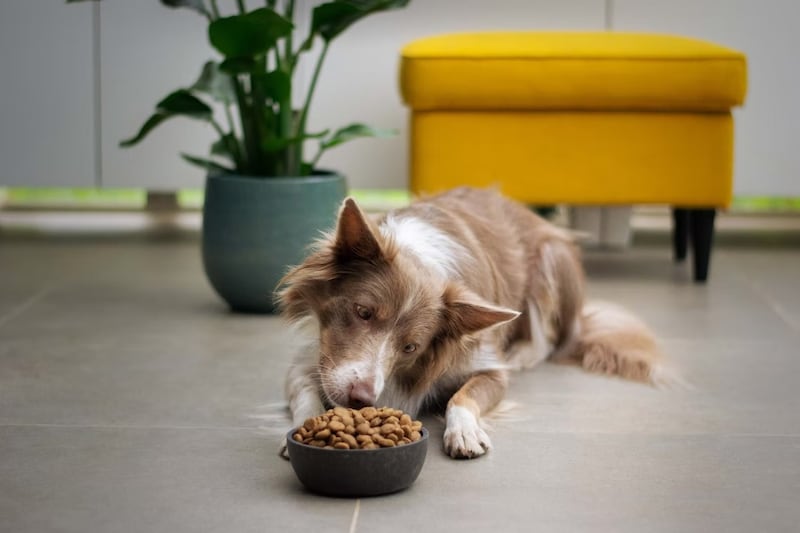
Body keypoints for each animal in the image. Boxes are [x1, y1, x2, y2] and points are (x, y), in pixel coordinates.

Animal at [278, 187, 664, 458]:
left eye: (410, 347)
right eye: (363, 312)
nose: (361, 399)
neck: (420, 259)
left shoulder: (487, 364)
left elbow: (462, 397)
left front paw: (464, 431)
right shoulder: (314, 357)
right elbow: (305, 391)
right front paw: (305, 426)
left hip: (552, 260)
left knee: (552, 341)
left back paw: (523, 354)